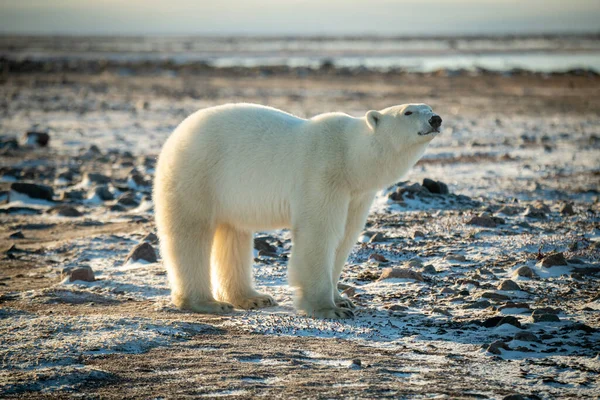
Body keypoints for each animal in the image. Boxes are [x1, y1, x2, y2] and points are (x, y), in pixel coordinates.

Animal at [155, 103, 440, 318]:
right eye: (408, 112)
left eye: (429, 107)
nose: (436, 119)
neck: (350, 157)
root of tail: (175, 135)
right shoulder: (323, 175)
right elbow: (320, 234)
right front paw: (328, 309)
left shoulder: (357, 195)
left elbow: (345, 238)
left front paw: (342, 299)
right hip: (198, 173)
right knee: (191, 234)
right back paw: (207, 303)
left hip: (227, 194)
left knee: (233, 236)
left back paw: (253, 297)